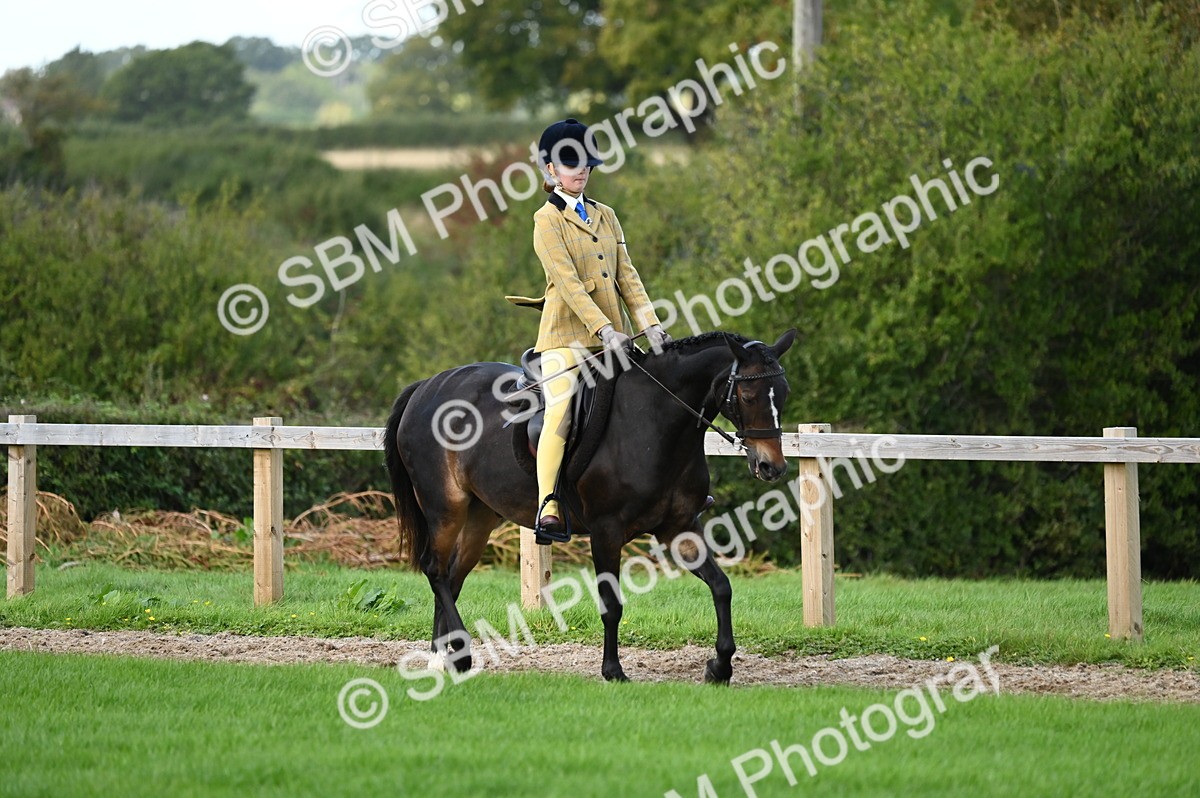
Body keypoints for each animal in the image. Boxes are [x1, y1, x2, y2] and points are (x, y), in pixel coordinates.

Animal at [384, 328, 796, 683]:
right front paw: (613, 671)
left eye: (784, 392)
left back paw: (442, 659)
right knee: (435, 570)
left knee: (452, 577)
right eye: (748, 396)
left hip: (480, 516)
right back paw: (460, 655)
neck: (655, 419)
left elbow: (721, 587)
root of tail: (426, 387)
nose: (771, 466)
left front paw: (720, 666)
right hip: (445, 508)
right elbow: (611, 603)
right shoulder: (606, 532)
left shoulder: (679, 527)